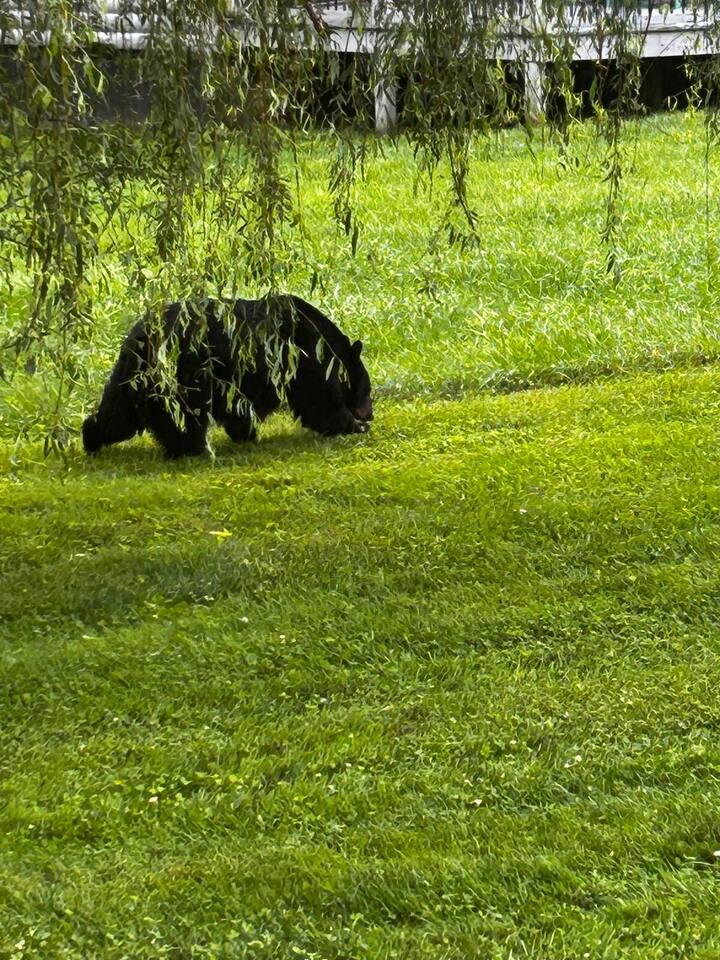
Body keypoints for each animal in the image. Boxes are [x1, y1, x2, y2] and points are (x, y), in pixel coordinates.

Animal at [82, 294, 373, 458]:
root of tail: (140, 337)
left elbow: (239, 410)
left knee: (116, 414)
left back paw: (91, 438)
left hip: (131, 378)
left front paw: (247, 434)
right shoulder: (302, 355)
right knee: (187, 416)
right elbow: (318, 398)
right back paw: (195, 449)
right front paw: (353, 425)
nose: (370, 414)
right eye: (367, 390)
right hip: (185, 373)